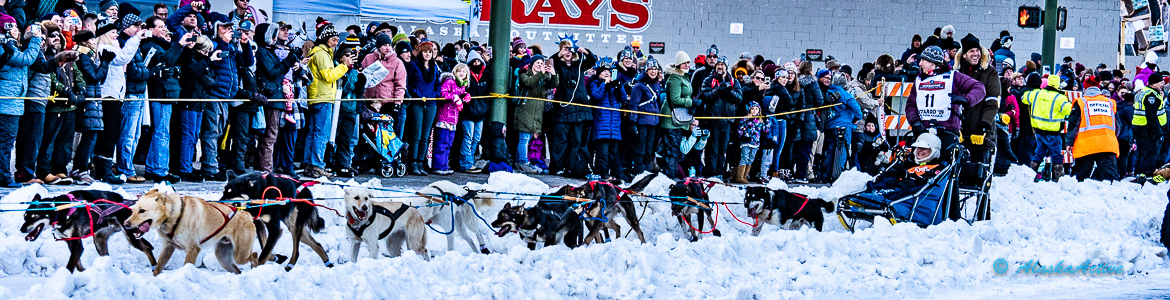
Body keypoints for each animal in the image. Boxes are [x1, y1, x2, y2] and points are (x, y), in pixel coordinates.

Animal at [19, 191, 157, 273]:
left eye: (35, 217)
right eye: (25, 216)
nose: (22, 229)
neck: (63, 210)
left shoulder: (76, 244)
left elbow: (71, 265)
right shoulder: (71, 242)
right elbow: (78, 263)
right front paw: (83, 273)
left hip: (131, 237)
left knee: (148, 250)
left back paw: (155, 268)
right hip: (99, 241)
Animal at [125, 188, 256, 275]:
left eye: (142, 211)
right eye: (133, 210)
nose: (126, 224)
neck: (174, 214)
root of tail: (245, 213)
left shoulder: (193, 249)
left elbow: (186, 266)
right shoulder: (168, 247)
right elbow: (158, 267)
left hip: (240, 255)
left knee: (254, 256)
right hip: (223, 258)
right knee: (237, 269)